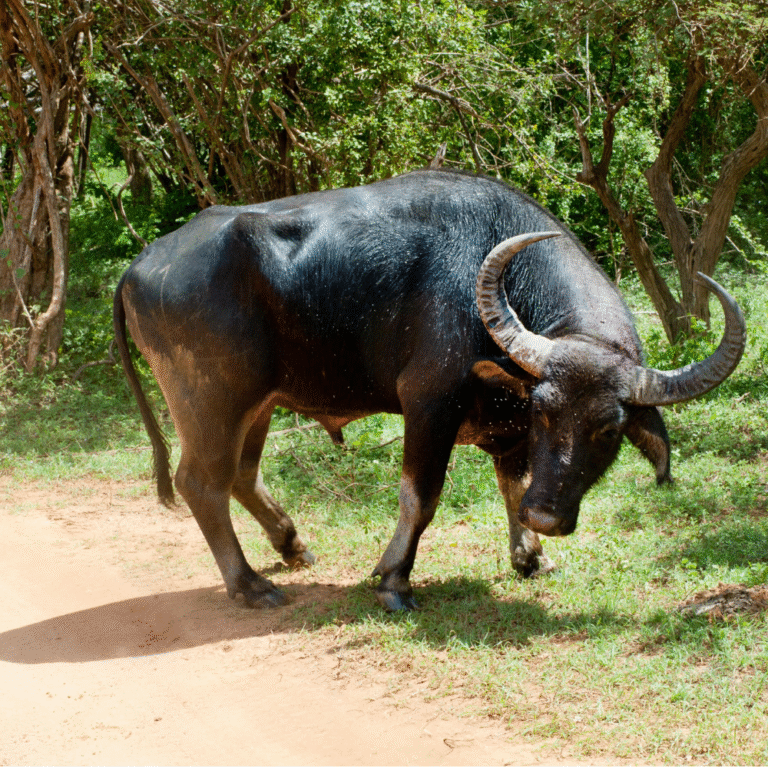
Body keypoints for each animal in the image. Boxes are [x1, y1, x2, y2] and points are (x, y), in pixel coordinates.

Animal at [113, 170, 745, 611]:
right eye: (544, 411)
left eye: (608, 429)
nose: (547, 517)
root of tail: (140, 265)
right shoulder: (430, 406)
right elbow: (421, 497)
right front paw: (393, 579)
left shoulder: (506, 428)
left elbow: (512, 484)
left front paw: (530, 556)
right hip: (212, 404)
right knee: (202, 483)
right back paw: (248, 584)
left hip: (261, 404)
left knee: (242, 475)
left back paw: (292, 547)